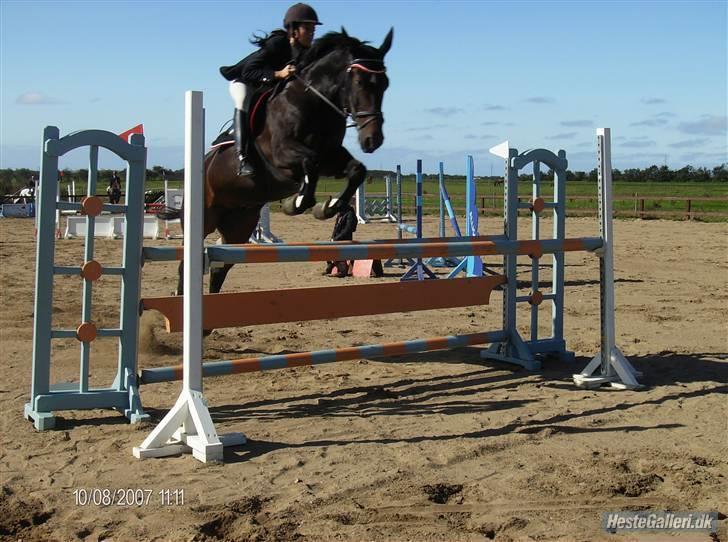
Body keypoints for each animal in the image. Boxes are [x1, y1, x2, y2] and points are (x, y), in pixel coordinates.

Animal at [160, 29, 392, 298]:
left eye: (385, 84)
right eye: (359, 83)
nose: (372, 140)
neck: (313, 102)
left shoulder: (331, 157)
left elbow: (356, 170)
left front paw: (328, 207)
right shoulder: (282, 156)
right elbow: (310, 164)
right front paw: (298, 202)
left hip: (239, 226)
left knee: (220, 266)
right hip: (204, 217)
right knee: (187, 264)